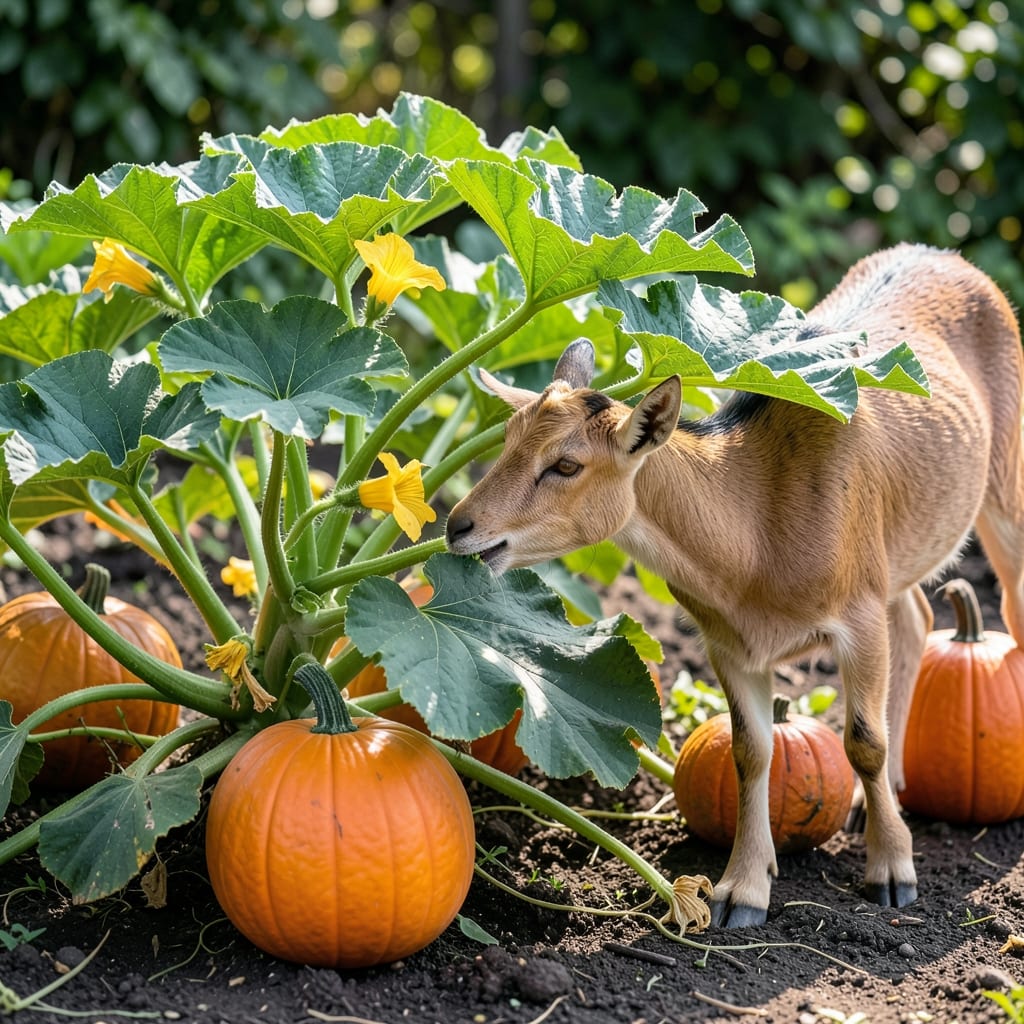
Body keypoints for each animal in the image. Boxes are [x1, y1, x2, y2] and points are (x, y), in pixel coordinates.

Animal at [446, 244, 1024, 927]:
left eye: (565, 464)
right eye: (507, 437)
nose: (458, 525)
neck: (757, 547)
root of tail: (950, 257)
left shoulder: (855, 612)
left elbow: (863, 741)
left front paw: (892, 876)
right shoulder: (728, 641)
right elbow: (751, 751)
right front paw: (739, 893)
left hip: (1003, 480)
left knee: (1007, 601)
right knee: (915, 616)